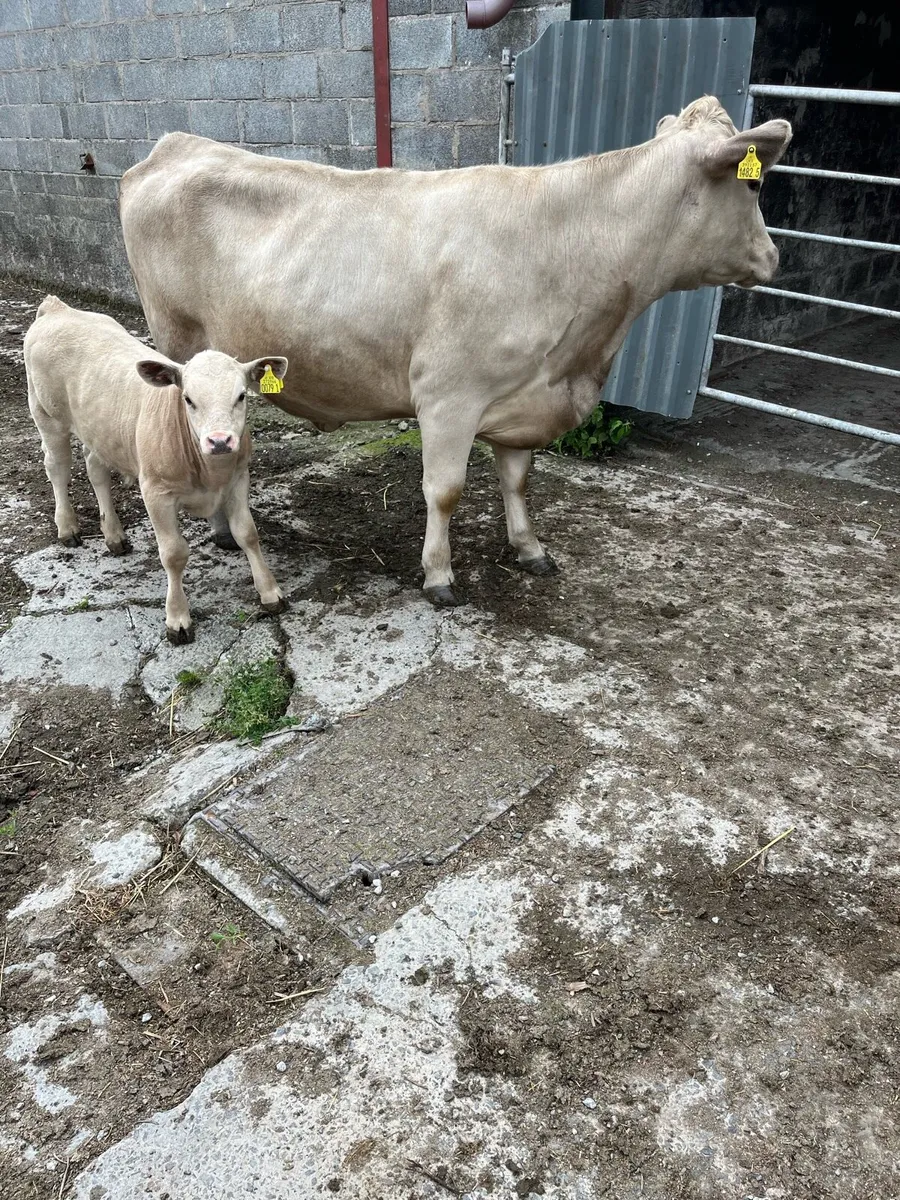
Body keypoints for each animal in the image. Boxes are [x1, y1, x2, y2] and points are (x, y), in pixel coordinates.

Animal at [23, 296, 288, 643]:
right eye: (187, 399)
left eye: (242, 395)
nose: (220, 441)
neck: (209, 472)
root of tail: (56, 308)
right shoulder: (155, 491)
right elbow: (174, 553)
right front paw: (178, 619)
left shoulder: (238, 477)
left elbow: (248, 533)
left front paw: (270, 592)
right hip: (46, 414)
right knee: (57, 468)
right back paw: (67, 527)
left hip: (100, 430)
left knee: (95, 468)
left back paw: (114, 535)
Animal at [119, 95, 792, 607]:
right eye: (753, 181)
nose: (774, 256)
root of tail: (174, 146)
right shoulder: (448, 397)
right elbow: (444, 490)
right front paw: (439, 575)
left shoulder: (524, 394)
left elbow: (517, 480)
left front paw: (528, 548)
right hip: (178, 341)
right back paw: (222, 531)